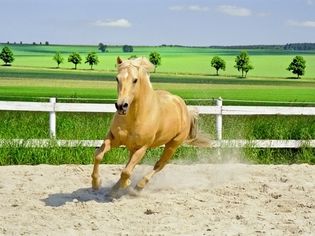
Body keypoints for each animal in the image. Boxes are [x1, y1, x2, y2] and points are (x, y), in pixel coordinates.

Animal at [91, 56, 210, 192]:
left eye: (135, 80)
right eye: (117, 78)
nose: (121, 106)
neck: (136, 116)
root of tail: (184, 108)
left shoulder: (142, 147)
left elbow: (126, 171)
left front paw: (125, 184)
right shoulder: (114, 138)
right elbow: (98, 155)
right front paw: (96, 183)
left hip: (172, 145)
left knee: (159, 165)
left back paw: (139, 185)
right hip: (133, 146)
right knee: (130, 163)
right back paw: (117, 187)